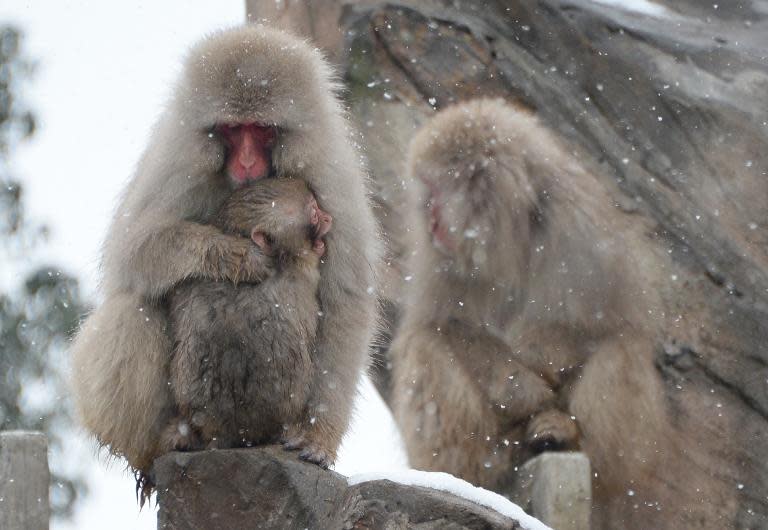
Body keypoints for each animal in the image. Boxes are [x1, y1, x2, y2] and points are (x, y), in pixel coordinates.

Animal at [390, 98, 688, 524]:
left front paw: (540, 361)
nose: (430, 222)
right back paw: (474, 473)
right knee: (424, 345)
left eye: (434, 192)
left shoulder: (580, 225)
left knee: (624, 348)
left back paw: (562, 435)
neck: (510, 231)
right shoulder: (443, 260)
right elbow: (448, 326)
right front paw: (524, 389)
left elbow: (602, 323)